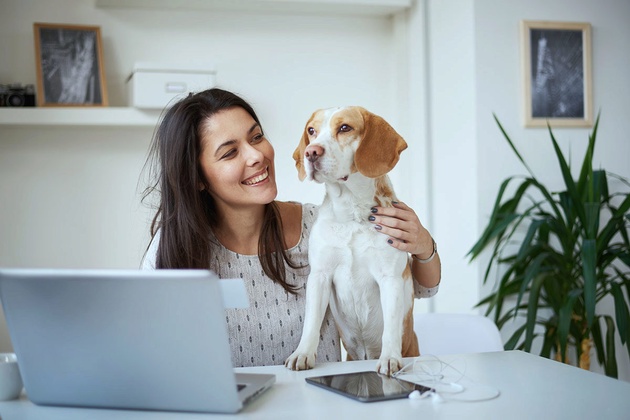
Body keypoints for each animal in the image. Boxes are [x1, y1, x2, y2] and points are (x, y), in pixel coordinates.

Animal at [286, 106, 420, 376]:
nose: (310, 152)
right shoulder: (320, 276)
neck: (351, 214)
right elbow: (311, 322)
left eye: (344, 128)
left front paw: (390, 358)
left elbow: (391, 327)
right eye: (311, 130)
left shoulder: (389, 278)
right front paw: (303, 354)